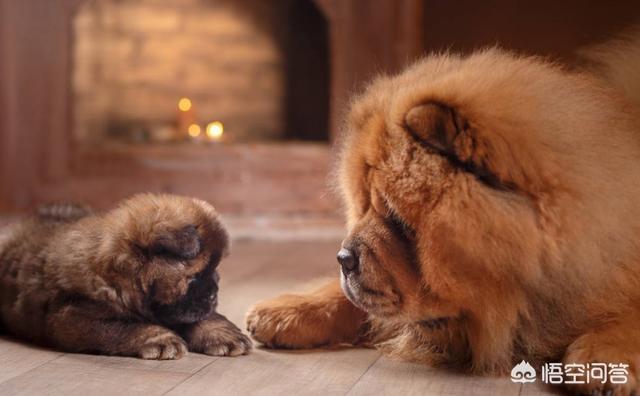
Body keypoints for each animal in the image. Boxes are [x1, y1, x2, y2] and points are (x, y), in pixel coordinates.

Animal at [0, 193, 250, 360]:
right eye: (197, 275)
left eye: (215, 270)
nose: (214, 294)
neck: (123, 274)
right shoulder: (72, 317)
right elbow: (124, 327)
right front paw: (161, 339)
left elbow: (201, 318)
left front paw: (223, 333)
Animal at [248, 48, 640, 394]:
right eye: (364, 206)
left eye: (396, 218)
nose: (343, 258)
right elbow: (346, 300)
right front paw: (287, 311)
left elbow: (626, 316)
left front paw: (602, 363)